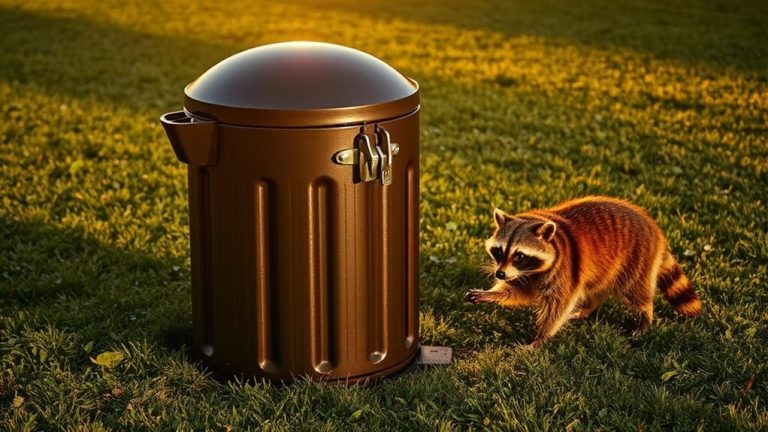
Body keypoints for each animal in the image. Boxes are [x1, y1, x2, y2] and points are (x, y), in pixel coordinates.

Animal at [464, 196, 701, 347]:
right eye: (498, 251)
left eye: (519, 255)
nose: (500, 274)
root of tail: (656, 230)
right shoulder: (525, 275)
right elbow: (518, 291)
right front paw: (493, 293)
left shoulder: (565, 268)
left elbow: (558, 304)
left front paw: (542, 336)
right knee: (594, 287)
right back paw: (589, 307)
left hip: (637, 259)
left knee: (634, 289)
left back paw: (645, 313)